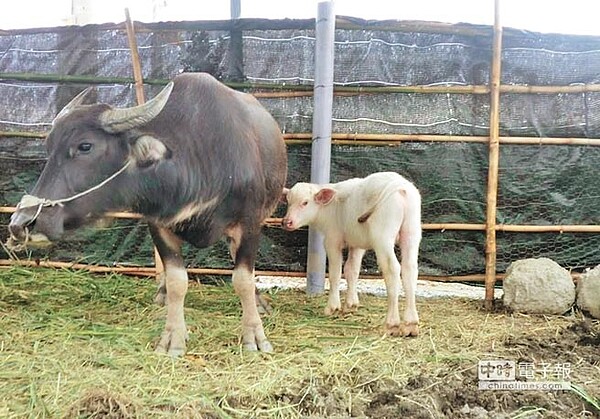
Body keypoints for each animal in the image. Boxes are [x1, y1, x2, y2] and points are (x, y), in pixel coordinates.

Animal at [7, 74, 288, 356]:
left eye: (85, 146)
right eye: (48, 146)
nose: (22, 223)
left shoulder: (250, 223)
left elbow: (242, 279)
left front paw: (254, 335)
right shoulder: (159, 225)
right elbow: (176, 281)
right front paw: (173, 337)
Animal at [282, 171, 420, 338]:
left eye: (305, 202)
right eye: (288, 202)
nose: (286, 222)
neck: (329, 208)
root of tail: (399, 185)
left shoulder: (332, 240)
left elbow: (335, 273)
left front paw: (333, 307)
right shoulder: (356, 243)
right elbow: (352, 270)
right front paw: (351, 305)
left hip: (383, 237)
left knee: (392, 269)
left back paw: (392, 324)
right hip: (412, 232)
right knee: (409, 269)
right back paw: (411, 324)